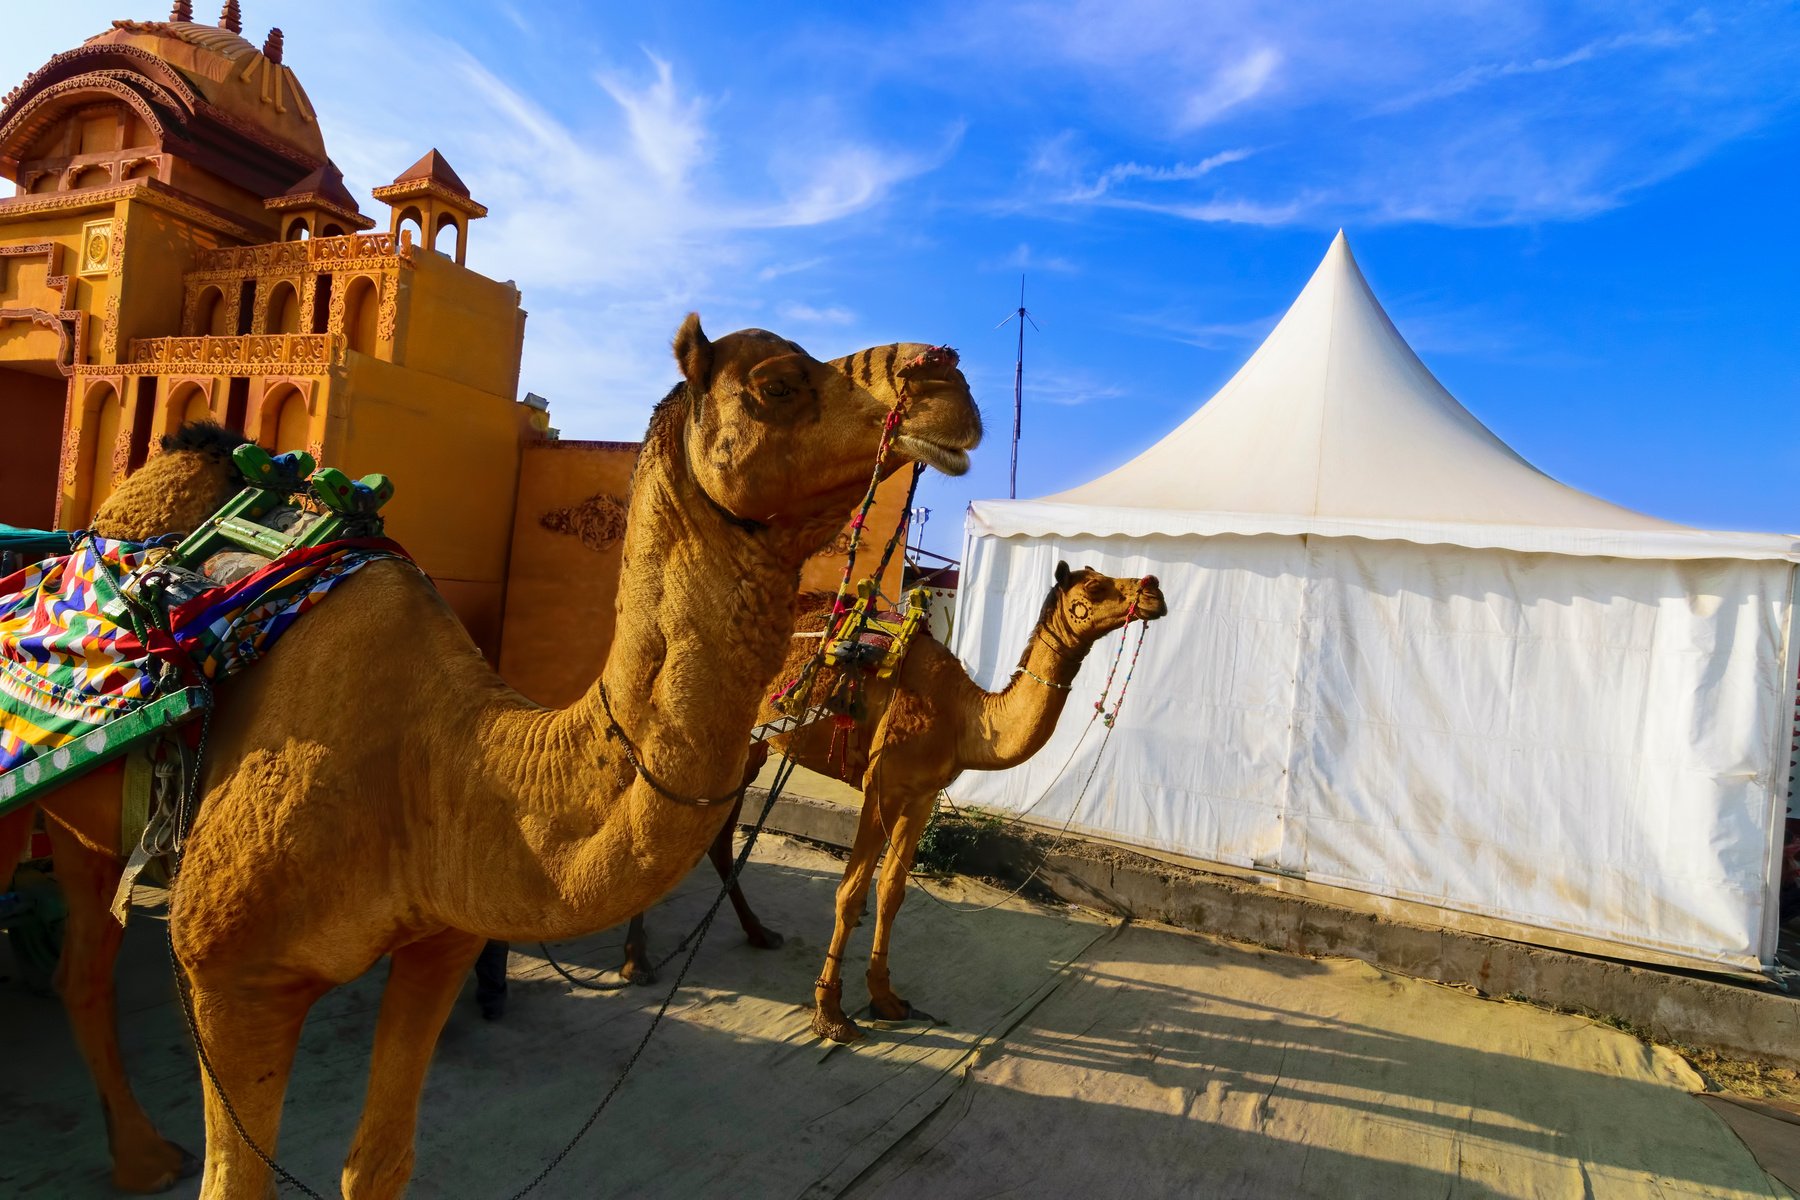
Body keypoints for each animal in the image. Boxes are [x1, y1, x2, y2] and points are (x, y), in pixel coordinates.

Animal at [3, 322, 986, 1200]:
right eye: (778, 383)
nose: (948, 373)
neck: (444, 763)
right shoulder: (230, 975)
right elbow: (234, 1182)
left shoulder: (439, 939)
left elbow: (378, 1166)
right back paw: (146, 1158)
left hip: (93, 830)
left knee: (82, 962)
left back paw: (140, 1156)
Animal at [619, 564, 1173, 1043]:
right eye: (1094, 588)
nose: (1154, 588)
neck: (962, 715)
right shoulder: (881, 786)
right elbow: (850, 894)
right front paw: (831, 1014)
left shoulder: (920, 796)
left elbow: (892, 893)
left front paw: (887, 1000)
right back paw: (636, 962)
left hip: (749, 746)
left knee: (716, 831)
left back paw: (759, 933)